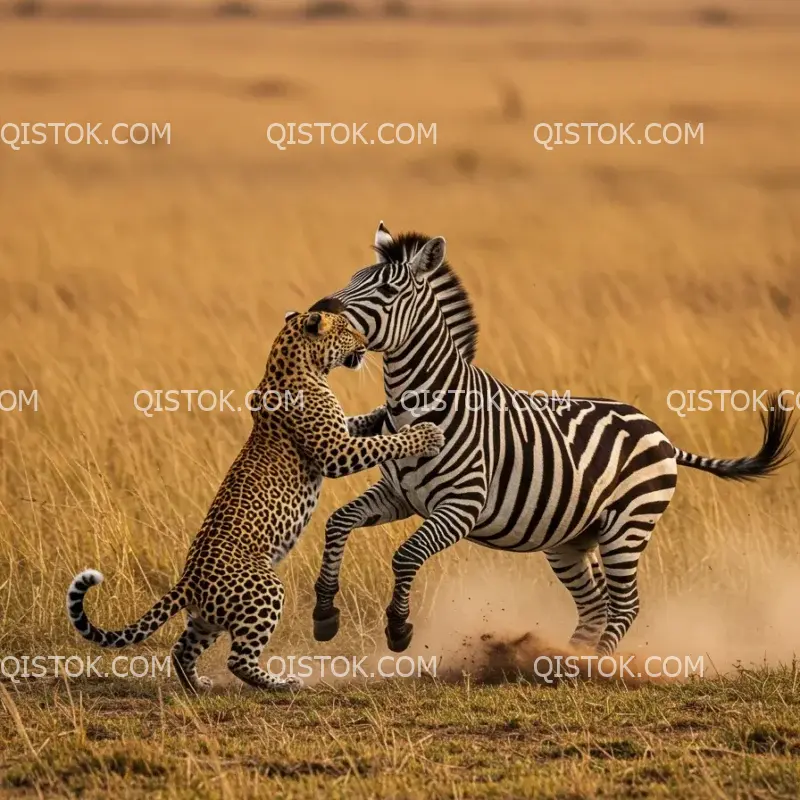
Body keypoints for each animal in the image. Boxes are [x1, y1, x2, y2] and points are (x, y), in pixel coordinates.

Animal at [68, 310, 444, 692]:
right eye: (344, 330)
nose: (366, 343)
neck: (294, 366)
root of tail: (189, 580)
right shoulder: (335, 452)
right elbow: (383, 444)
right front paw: (425, 435)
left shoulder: (340, 432)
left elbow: (359, 424)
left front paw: (381, 411)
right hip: (265, 590)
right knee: (238, 659)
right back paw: (282, 682)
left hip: (207, 619)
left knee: (182, 649)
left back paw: (199, 685)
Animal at [308, 220, 792, 656]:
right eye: (353, 279)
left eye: (387, 292)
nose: (316, 314)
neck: (422, 401)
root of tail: (663, 436)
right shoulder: (399, 495)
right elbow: (339, 522)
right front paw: (325, 614)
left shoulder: (461, 506)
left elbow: (406, 555)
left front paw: (399, 628)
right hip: (571, 539)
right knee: (595, 605)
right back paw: (563, 660)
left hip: (628, 525)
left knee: (625, 605)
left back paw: (593, 666)